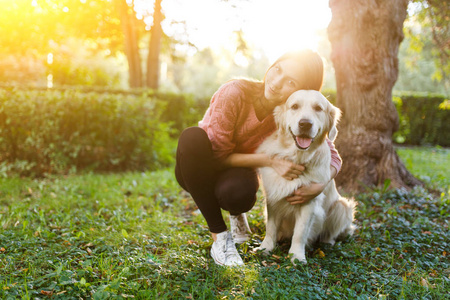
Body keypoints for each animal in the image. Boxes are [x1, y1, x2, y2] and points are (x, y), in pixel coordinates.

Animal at [256, 90, 356, 264]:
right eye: (295, 106)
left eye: (318, 108)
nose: (305, 124)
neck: (296, 158)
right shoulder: (273, 197)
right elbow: (271, 227)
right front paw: (266, 248)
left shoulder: (309, 201)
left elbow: (300, 232)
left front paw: (296, 256)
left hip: (342, 206)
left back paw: (328, 242)